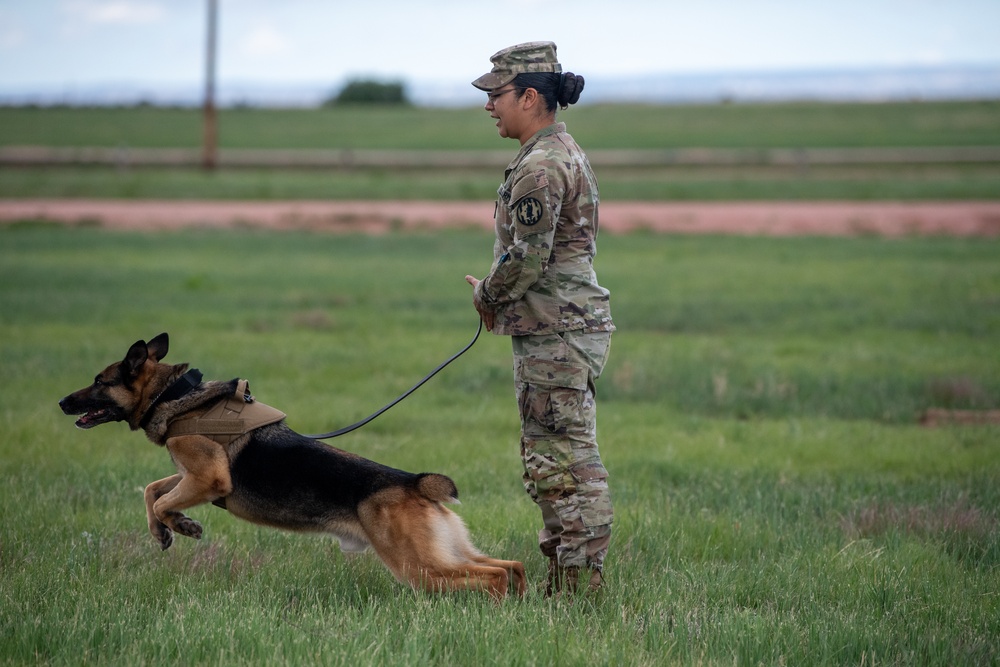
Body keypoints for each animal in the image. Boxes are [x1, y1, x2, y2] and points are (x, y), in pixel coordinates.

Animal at [60, 334, 532, 600]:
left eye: (100, 382)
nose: (63, 402)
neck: (174, 396)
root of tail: (416, 484)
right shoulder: (193, 477)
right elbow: (152, 490)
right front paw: (165, 529)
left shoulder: (209, 478)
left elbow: (160, 500)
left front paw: (178, 526)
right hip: (446, 554)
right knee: (511, 566)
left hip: (419, 568)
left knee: (493, 577)